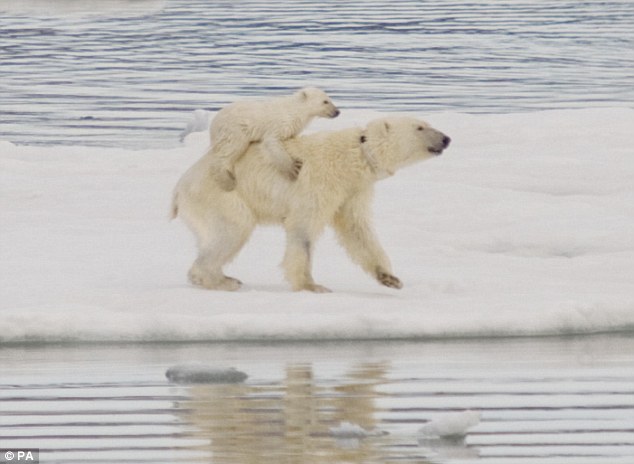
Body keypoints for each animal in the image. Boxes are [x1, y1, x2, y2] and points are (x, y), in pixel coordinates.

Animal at [172, 114, 450, 292]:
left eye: (426, 124)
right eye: (420, 127)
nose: (446, 138)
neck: (354, 157)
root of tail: (178, 189)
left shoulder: (353, 190)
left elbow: (356, 229)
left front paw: (390, 278)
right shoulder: (321, 180)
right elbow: (303, 227)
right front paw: (311, 285)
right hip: (222, 195)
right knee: (233, 230)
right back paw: (220, 280)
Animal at [206, 87, 336, 190]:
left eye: (329, 99)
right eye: (325, 101)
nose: (337, 112)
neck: (294, 109)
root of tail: (213, 125)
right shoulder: (280, 123)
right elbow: (272, 142)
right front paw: (293, 168)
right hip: (234, 129)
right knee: (230, 149)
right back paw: (228, 182)